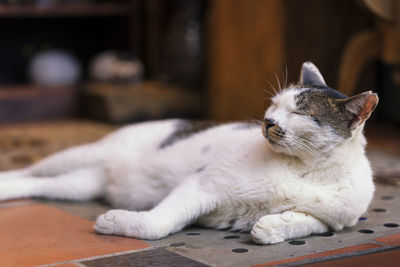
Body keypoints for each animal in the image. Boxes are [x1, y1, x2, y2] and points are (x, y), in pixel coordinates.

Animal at [0, 62, 378, 245]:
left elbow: (311, 223)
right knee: (28, 171)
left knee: (38, 184)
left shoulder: (338, 220)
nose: (267, 122)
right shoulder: (203, 185)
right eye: (273, 105)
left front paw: (271, 227)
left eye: (299, 112)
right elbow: (157, 225)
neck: (307, 169)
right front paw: (115, 222)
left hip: (79, 184)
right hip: (83, 155)